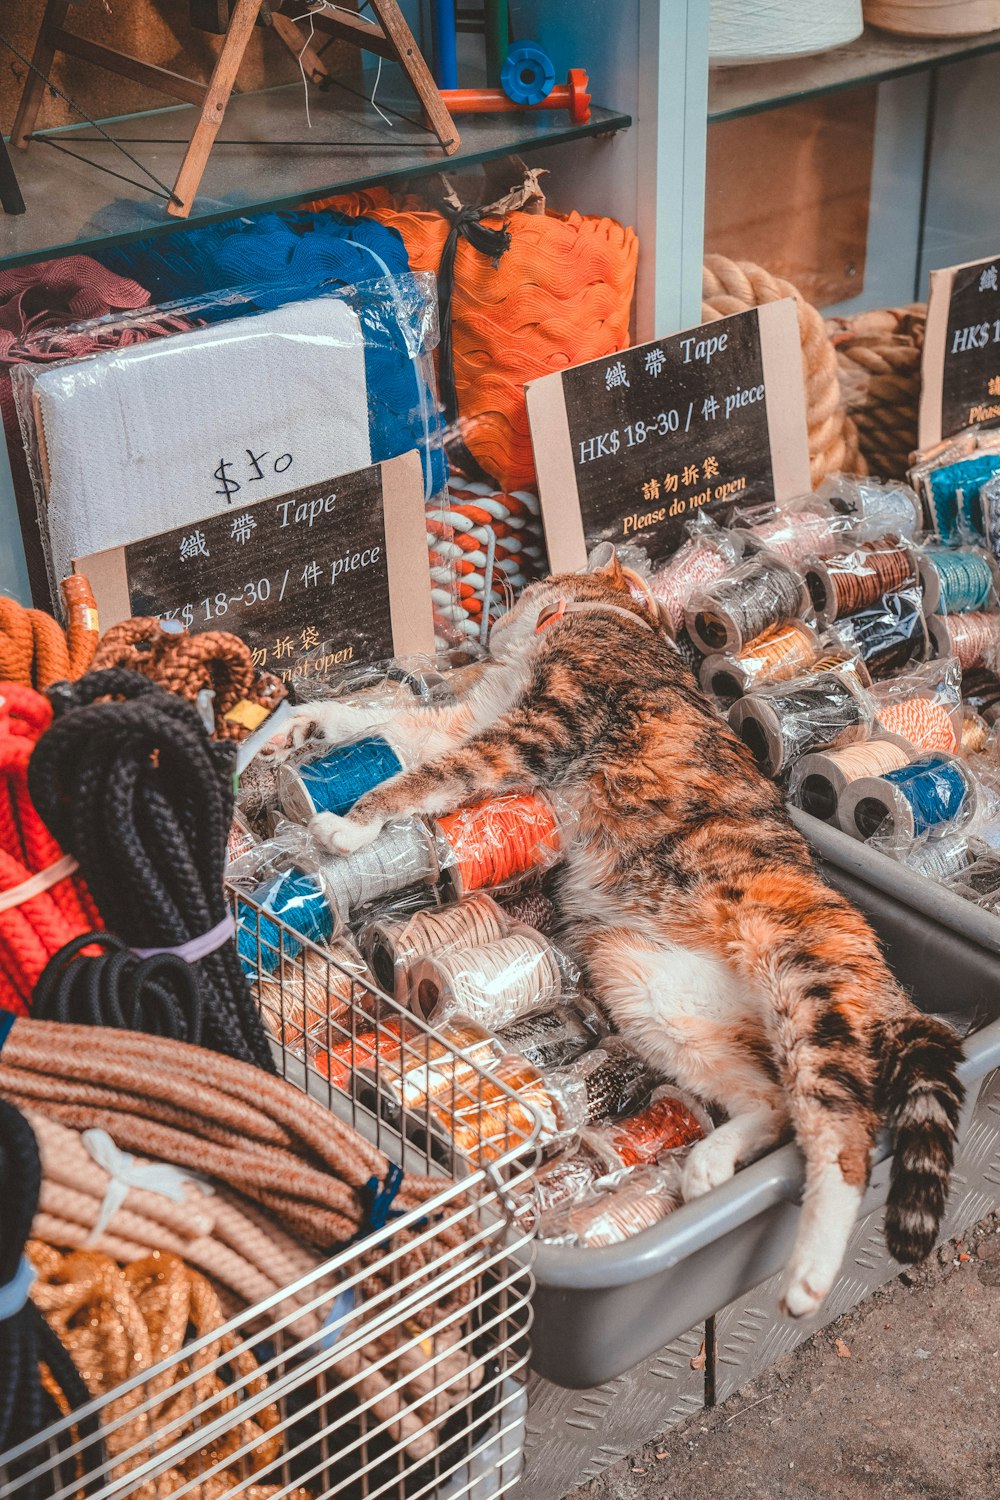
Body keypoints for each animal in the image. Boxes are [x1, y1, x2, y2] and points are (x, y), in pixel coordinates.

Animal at [284, 558, 965, 1320]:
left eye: (530, 587)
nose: (496, 617)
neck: (614, 622)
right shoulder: (474, 715)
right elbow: (397, 728)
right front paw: (315, 722)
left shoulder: (533, 727)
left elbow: (428, 774)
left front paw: (349, 826)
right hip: (645, 987)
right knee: (774, 1104)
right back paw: (708, 1164)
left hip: (803, 979)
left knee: (842, 1130)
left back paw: (808, 1277)